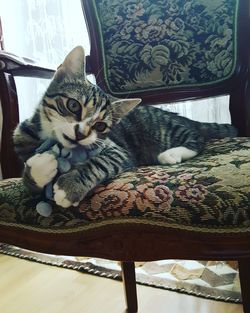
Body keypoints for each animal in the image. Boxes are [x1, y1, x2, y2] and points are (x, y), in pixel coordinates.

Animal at [13, 45, 236, 207]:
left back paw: (171, 153)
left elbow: (100, 162)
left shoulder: (118, 151)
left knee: (196, 139)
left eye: (100, 126)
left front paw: (71, 185)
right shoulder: (20, 139)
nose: (81, 133)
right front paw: (38, 169)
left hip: (162, 128)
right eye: (73, 105)